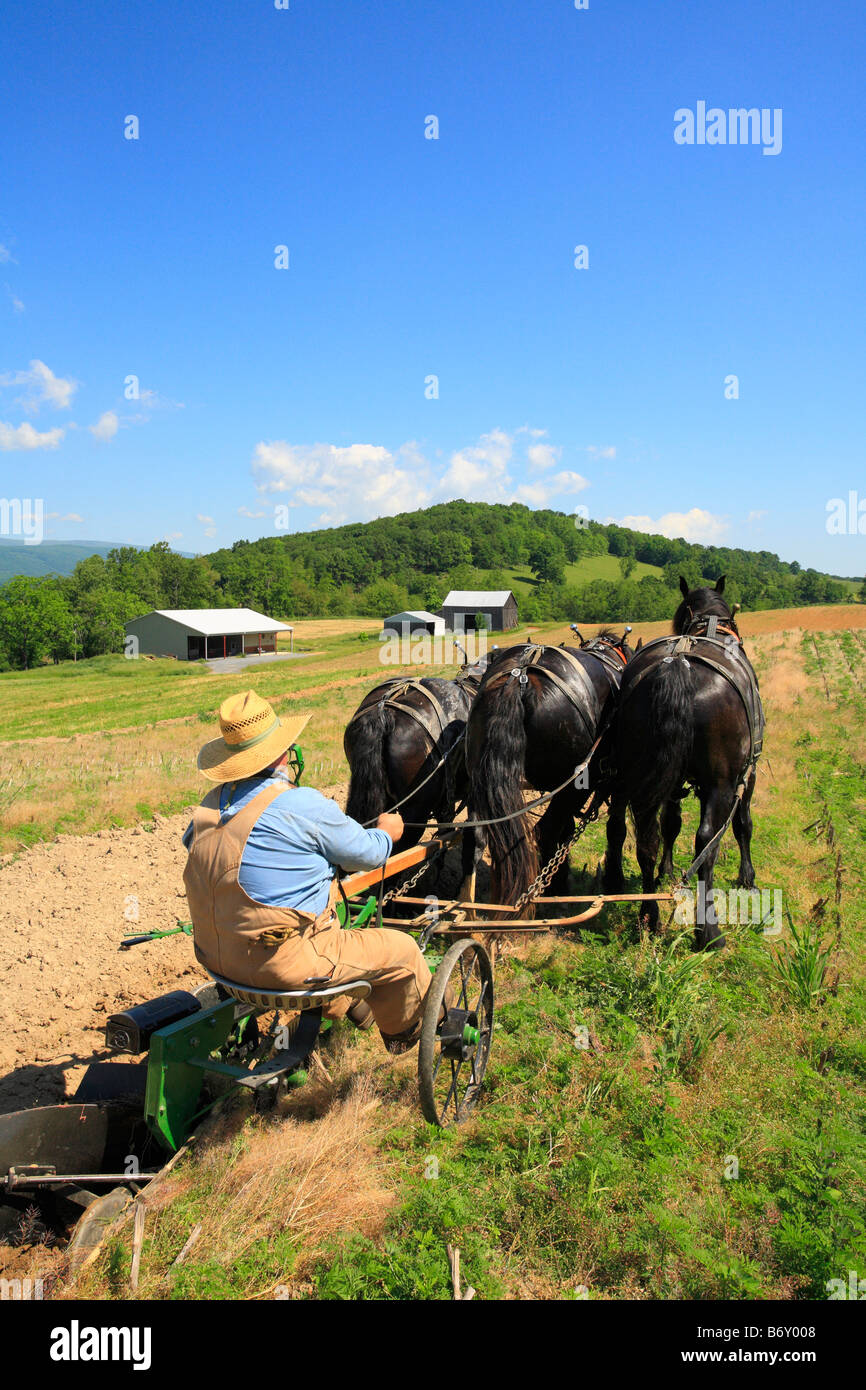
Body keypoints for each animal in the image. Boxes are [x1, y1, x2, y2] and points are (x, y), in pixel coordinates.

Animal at [461, 628, 635, 909]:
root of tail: (520, 680)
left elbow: (569, 830)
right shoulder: (616, 784)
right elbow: (616, 830)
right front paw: (613, 881)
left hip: (480, 779)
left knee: (477, 837)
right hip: (573, 785)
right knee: (546, 831)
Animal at [602, 577, 764, 950]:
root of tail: (677, 665)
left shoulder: (671, 781)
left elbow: (671, 824)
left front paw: (666, 870)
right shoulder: (745, 775)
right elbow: (743, 825)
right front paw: (747, 878)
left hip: (634, 773)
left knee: (643, 838)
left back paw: (648, 915)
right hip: (721, 784)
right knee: (707, 841)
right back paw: (709, 933)